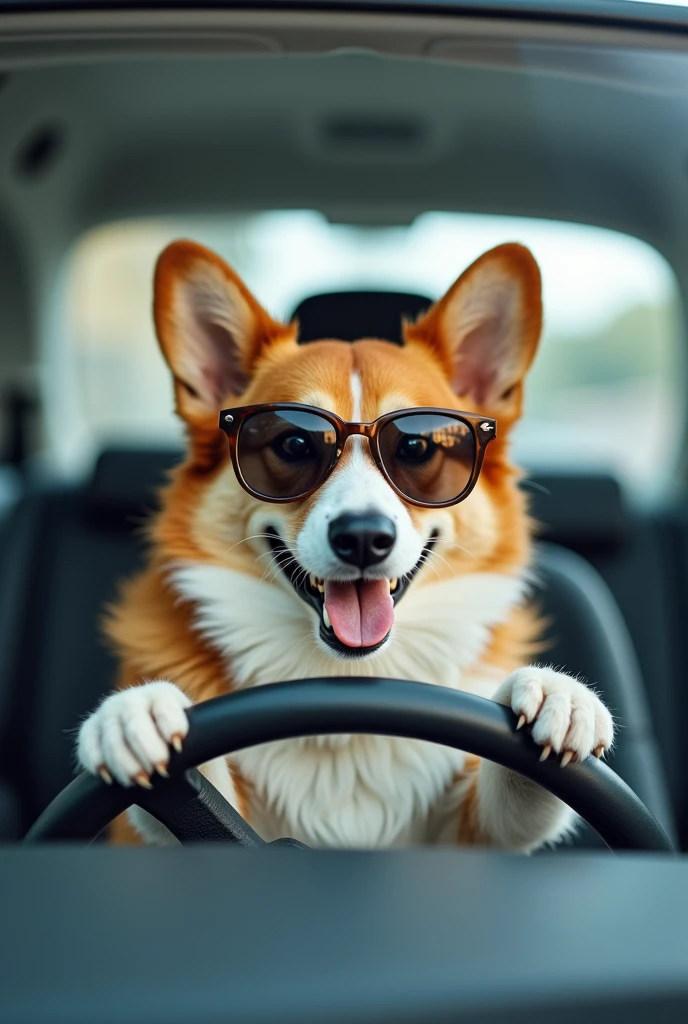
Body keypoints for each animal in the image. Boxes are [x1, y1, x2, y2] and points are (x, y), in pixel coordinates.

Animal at [75, 239, 614, 847]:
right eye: (293, 443)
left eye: (417, 447)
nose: (363, 538)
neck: (346, 681)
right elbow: (195, 790)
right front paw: (138, 709)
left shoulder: (468, 832)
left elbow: (514, 795)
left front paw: (555, 691)